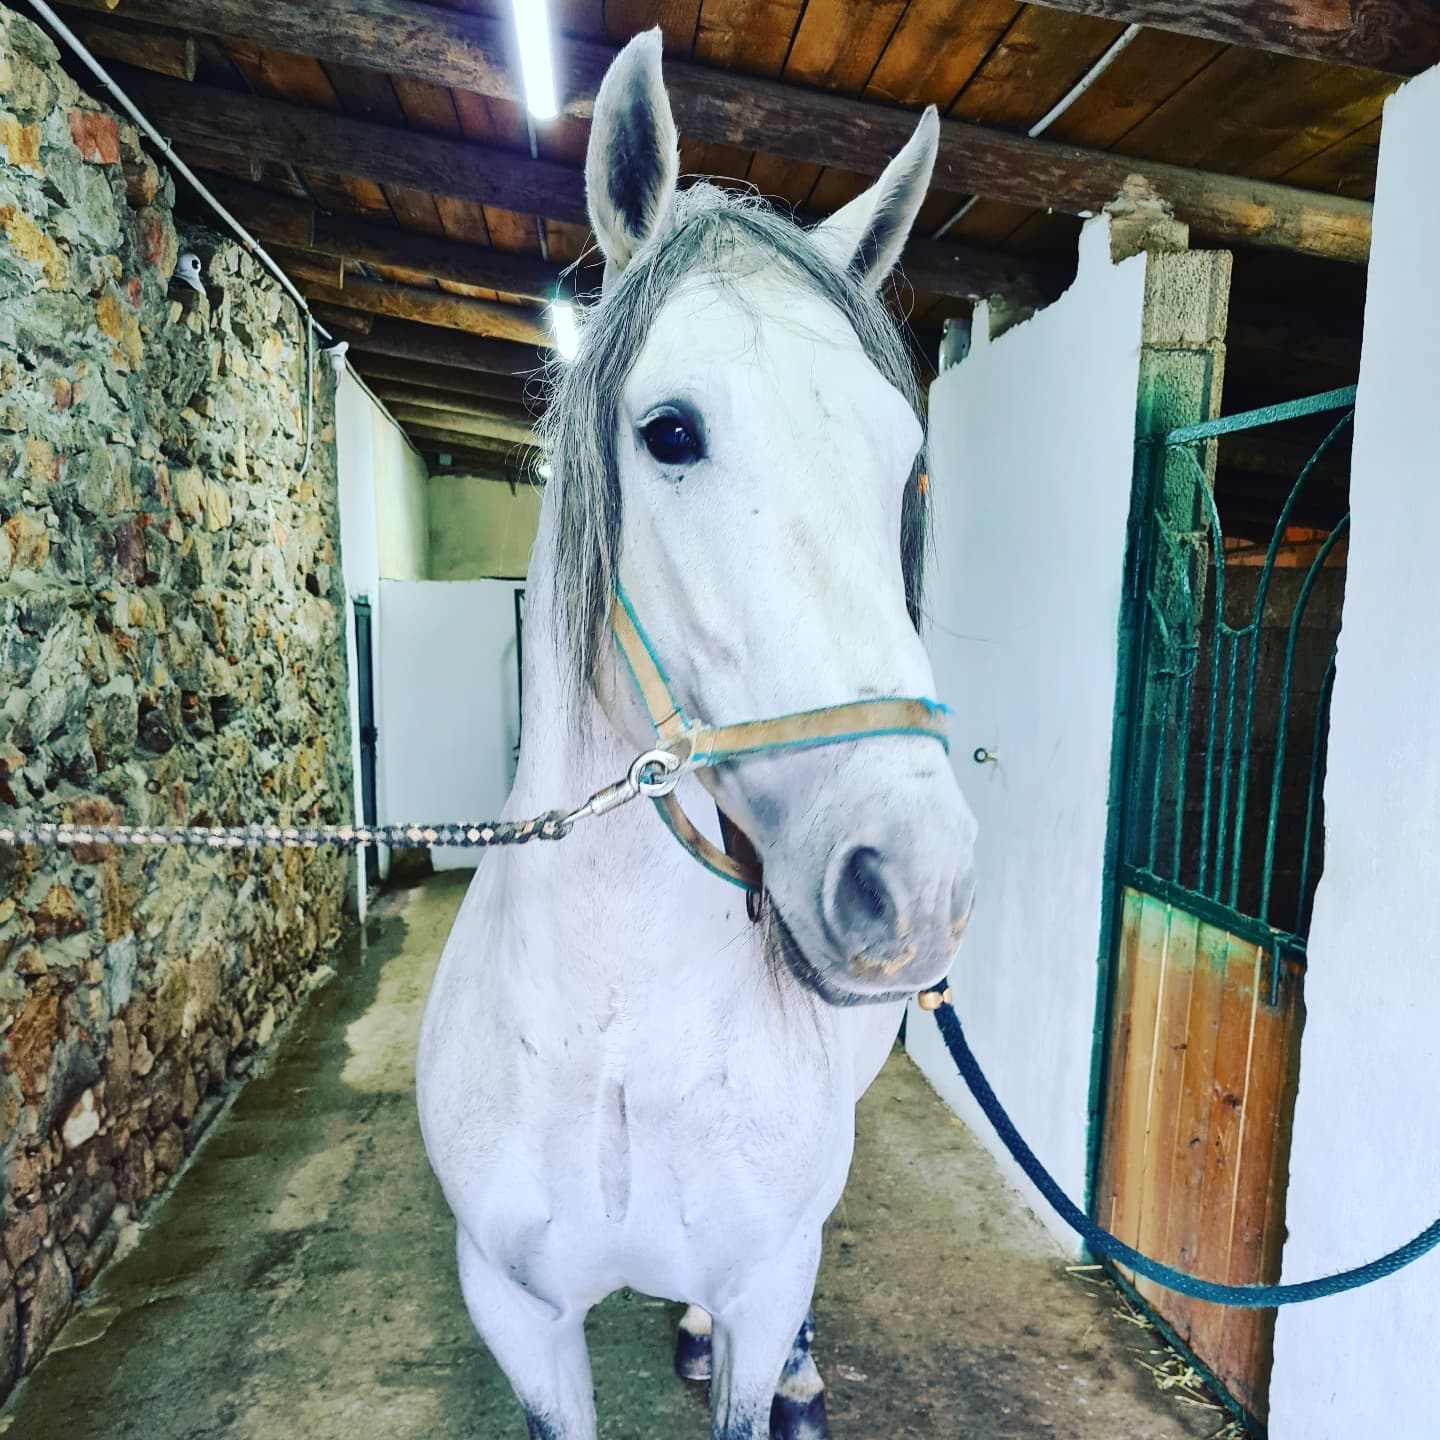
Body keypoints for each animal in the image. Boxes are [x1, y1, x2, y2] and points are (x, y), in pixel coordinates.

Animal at [416, 30, 977, 1440]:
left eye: (907, 463)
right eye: (670, 431)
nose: (916, 884)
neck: (620, 1035)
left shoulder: (770, 1273)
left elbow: (761, 1334)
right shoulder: (519, 1316)